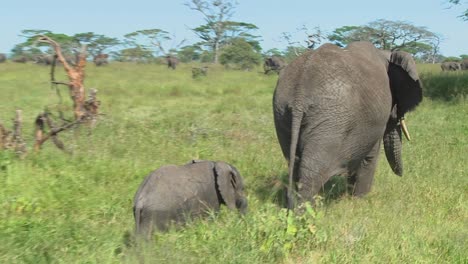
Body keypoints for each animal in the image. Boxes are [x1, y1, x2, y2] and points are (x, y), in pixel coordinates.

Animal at [272, 41, 422, 208]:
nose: (402, 175)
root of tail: (300, 94)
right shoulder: (376, 119)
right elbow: (370, 157)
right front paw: (360, 201)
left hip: (282, 111)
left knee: (293, 162)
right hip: (331, 119)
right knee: (312, 170)